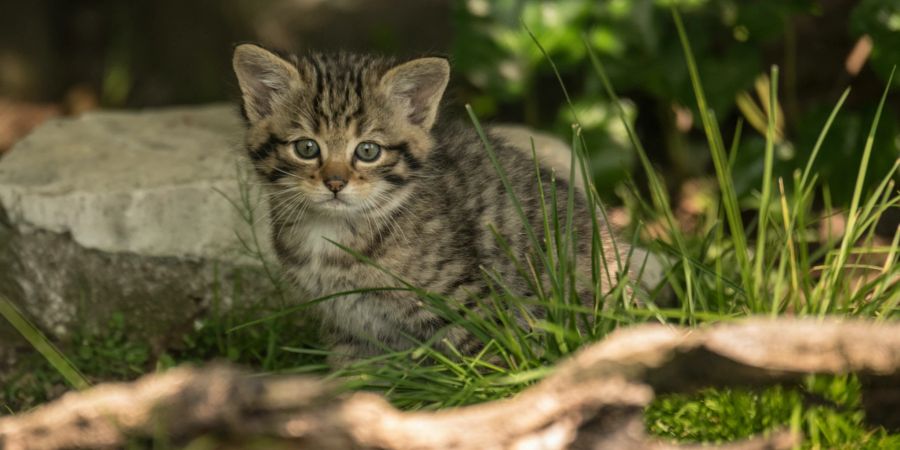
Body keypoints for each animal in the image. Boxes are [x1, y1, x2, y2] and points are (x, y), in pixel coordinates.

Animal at [230, 44, 632, 366]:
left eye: (368, 150)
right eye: (306, 147)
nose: (335, 183)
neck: (333, 235)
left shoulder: (467, 302)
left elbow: (486, 364)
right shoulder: (348, 324)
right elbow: (355, 376)